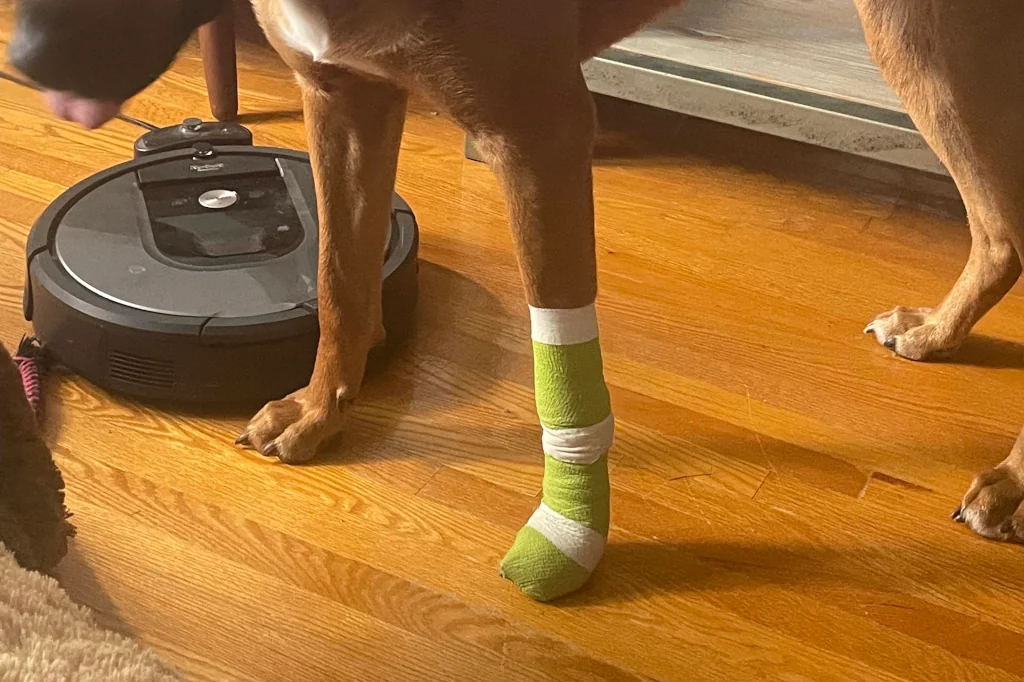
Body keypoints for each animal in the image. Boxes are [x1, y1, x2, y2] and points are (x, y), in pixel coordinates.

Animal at [6, 0, 1024, 585]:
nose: (25, 55)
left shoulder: (539, 124)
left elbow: (558, 363)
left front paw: (568, 535)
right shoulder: (342, 92)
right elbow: (339, 280)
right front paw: (320, 409)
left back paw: (1012, 485)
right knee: (1000, 228)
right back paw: (939, 332)